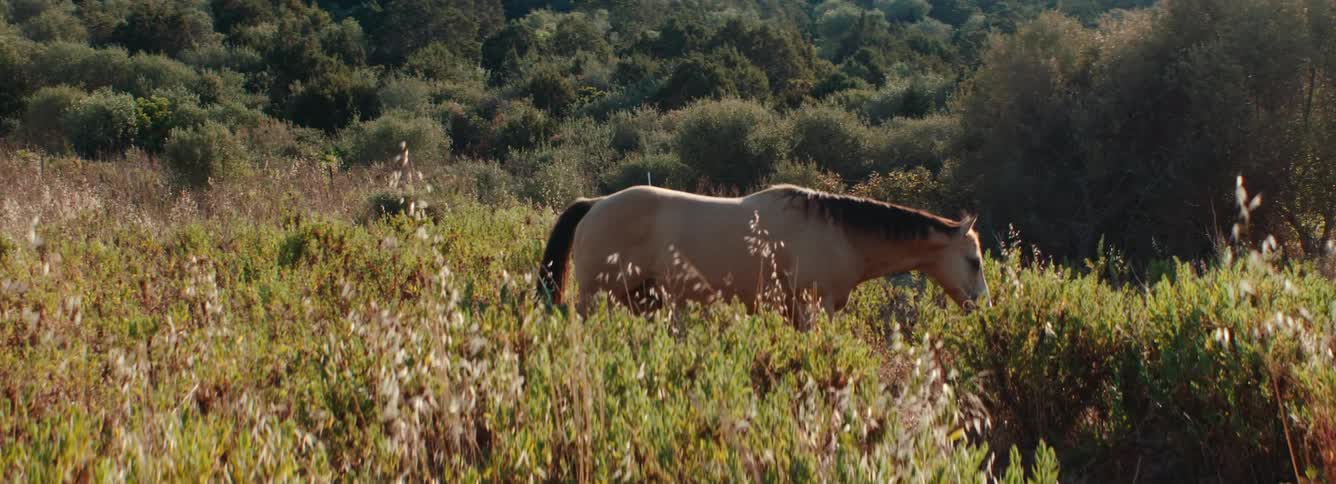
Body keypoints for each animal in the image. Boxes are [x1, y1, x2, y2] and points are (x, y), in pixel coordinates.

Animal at [535, 184, 989, 327]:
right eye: (974, 261)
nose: (983, 306)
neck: (840, 232)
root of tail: (595, 204)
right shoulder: (814, 307)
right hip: (597, 298)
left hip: (638, 300)